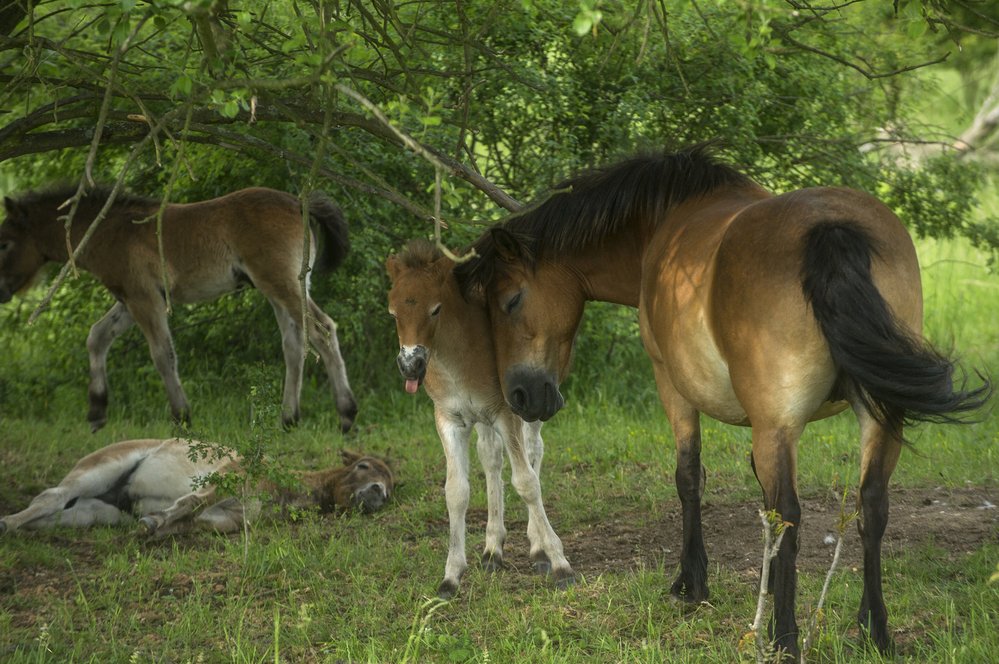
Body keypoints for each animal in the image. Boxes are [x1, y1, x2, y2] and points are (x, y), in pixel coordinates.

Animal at [386, 239, 576, 596]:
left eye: (435, 309)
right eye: (393, 313)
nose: (410, 366)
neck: (456, 360)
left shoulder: (505, 411)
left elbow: (526, 481)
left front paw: (560, 563)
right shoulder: (449, 419)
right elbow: (456, 491)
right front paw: (451, 575)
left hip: (535, 400)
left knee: (533, 451)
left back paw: (537, 547)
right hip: (484, 418)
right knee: (491, 458)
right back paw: (492, 550)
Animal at [456, 143, 992, 656]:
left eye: (510, 301)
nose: (522, 395)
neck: (663, 222)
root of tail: (830, 229)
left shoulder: (673, 386)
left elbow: (690, 477)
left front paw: (693, 583)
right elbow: (763, 503)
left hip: (780, 425)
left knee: (791, 514)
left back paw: (785, 637)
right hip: (876, 418)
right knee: (871, 507)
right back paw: (873, 631)